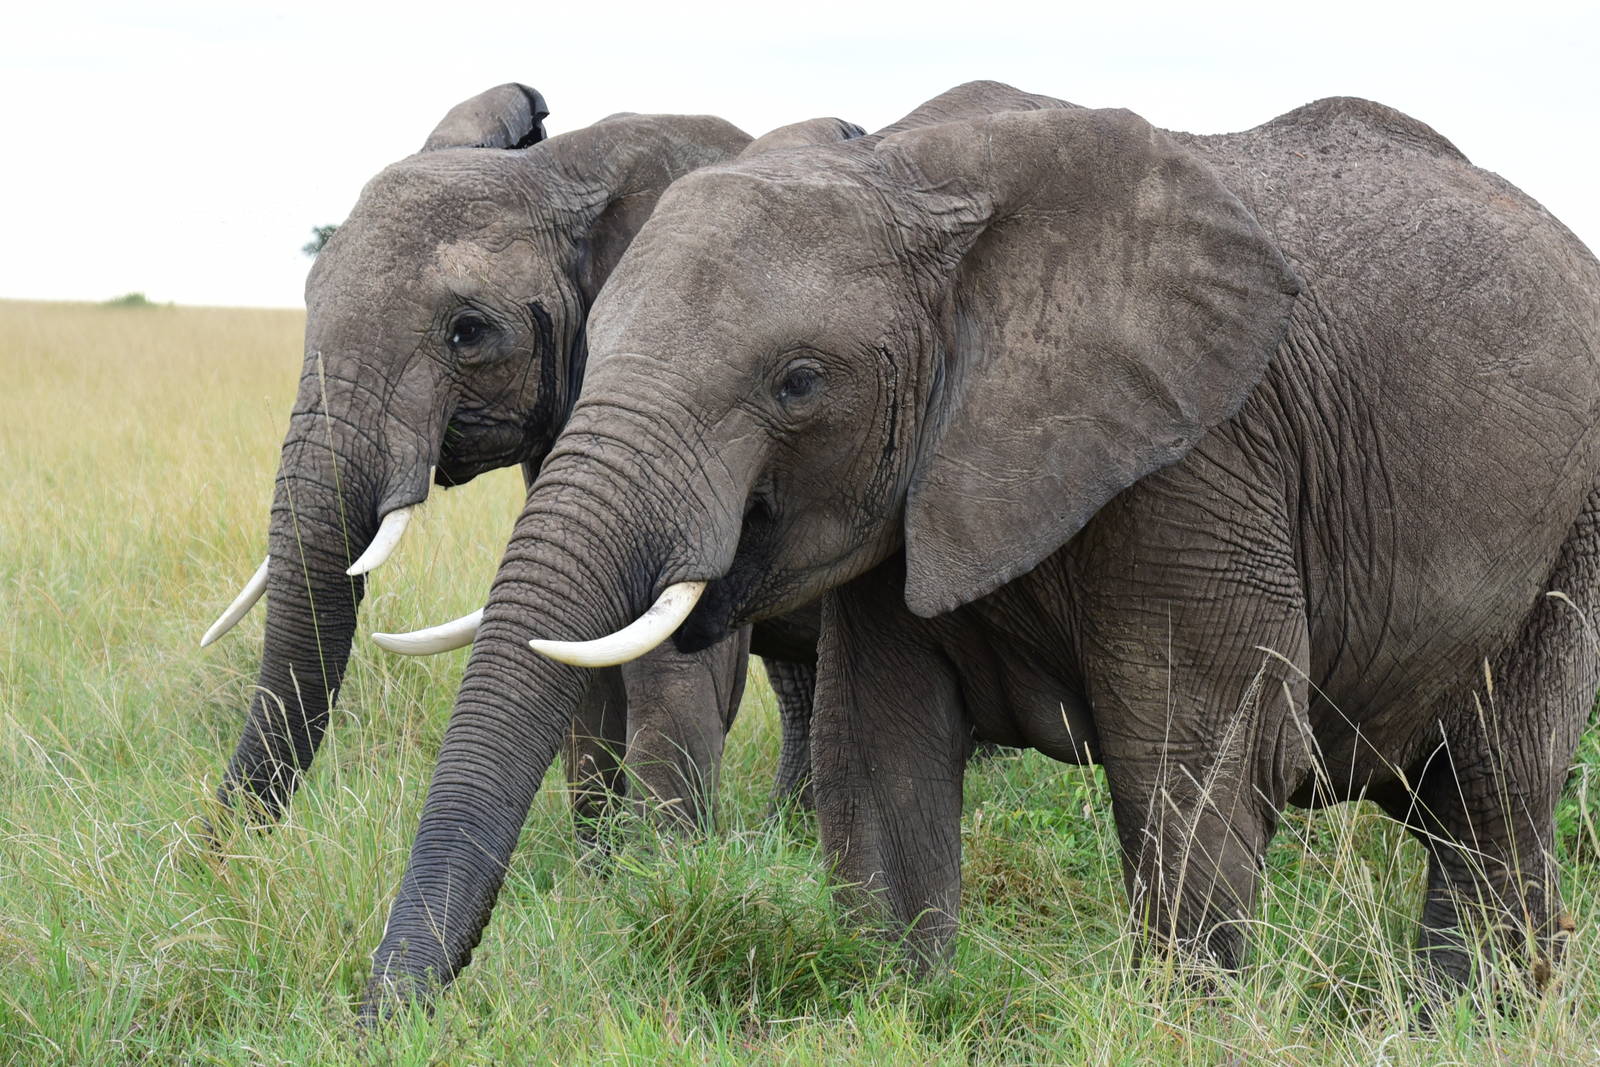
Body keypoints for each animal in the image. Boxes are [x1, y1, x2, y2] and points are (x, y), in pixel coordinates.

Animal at [198, 83, 839, 841]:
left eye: (468, 332)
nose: (215, 857)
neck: (566, 172)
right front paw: (604, 863)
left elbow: (669, 664)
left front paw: (664, 863)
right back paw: (790, 838)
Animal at [358, 79, 1600, 1015]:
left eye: (798, 382)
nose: (387, 1017)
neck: (917, 183)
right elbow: (878, 758)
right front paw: (900, 1009)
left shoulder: (1202, 457)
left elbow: (1197, 760)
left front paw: (1186, 1025)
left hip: (1573, 523)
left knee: (1495, 786)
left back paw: (1466, 1016)